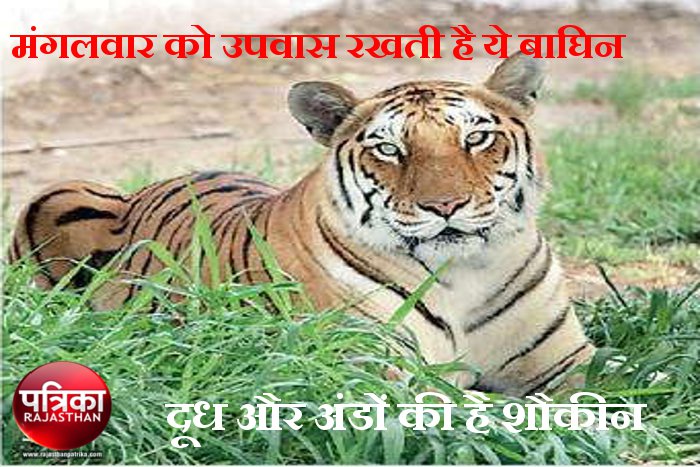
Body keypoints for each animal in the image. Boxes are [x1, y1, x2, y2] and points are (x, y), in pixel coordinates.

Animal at [9, 53, 594, 396]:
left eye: (475, 138)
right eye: (389, 149)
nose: (444, 206)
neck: (464, 275)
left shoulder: (567, 363)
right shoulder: (383, 375)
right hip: (60, 193)